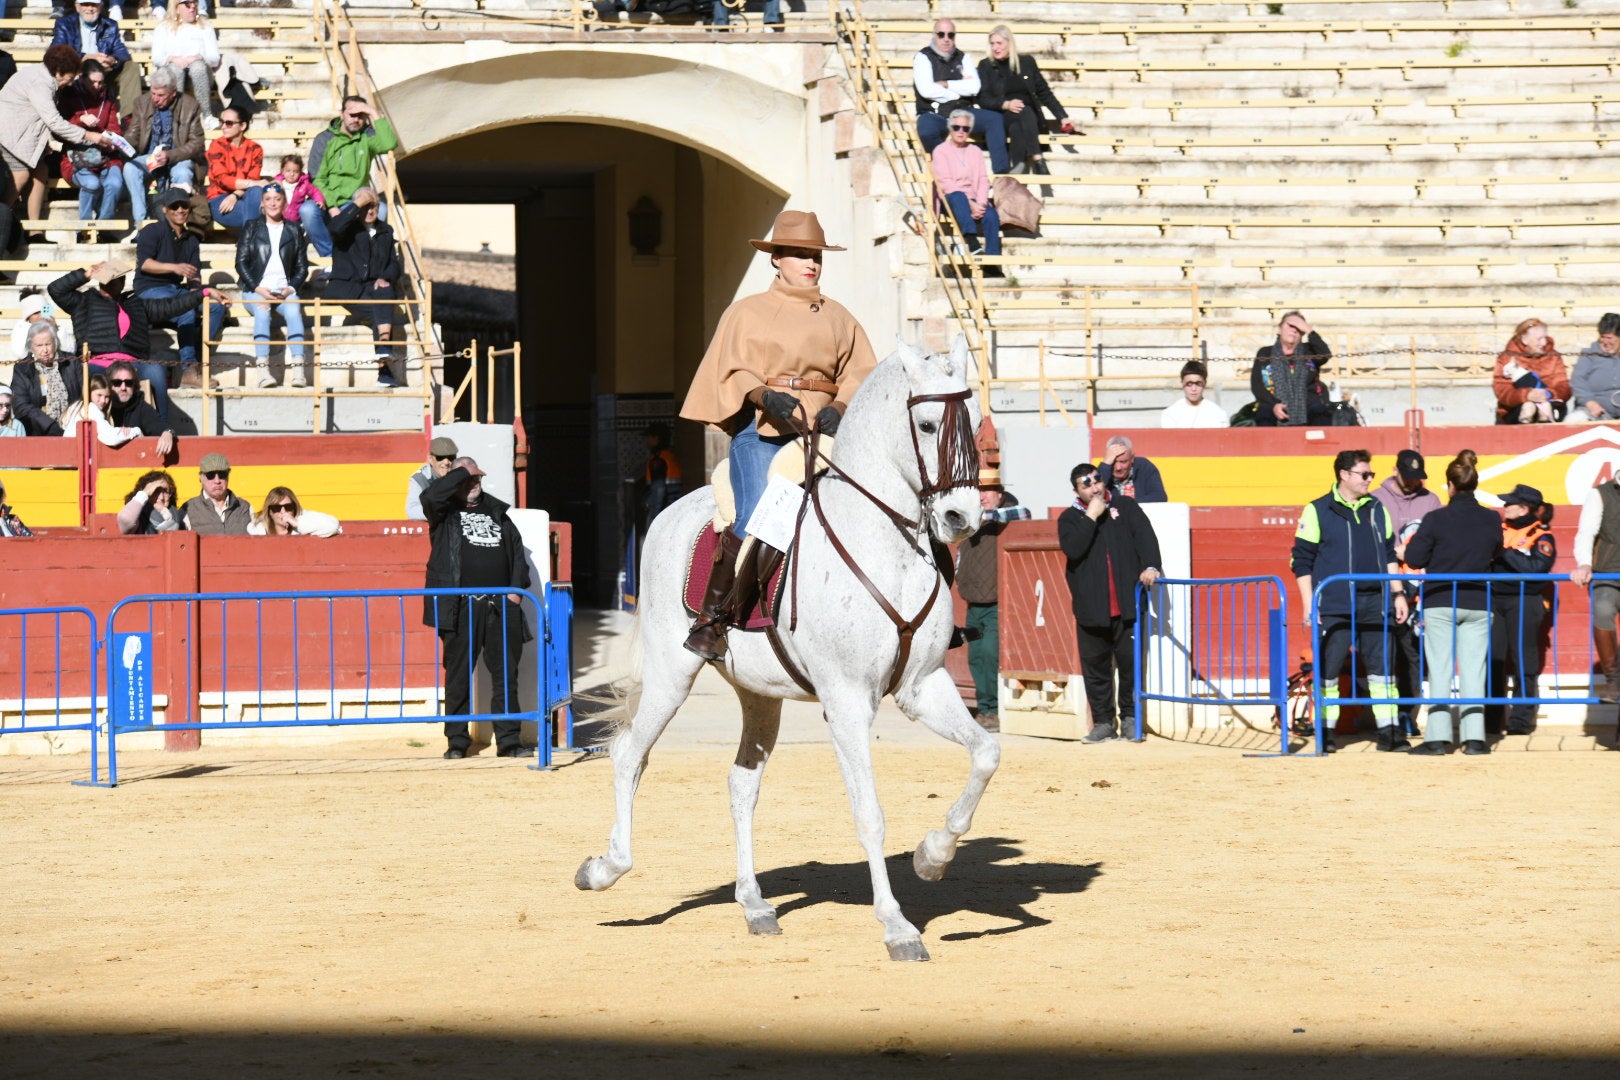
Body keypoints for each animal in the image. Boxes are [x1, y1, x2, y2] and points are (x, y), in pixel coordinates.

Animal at [570, 340, 997, 965]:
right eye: (925, 424)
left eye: (971, 421)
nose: (962, 519)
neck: (885, 543)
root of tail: (672, 511)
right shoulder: (847, 701)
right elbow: (869, 813)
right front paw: (897, 926)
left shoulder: (924, 687)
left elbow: (985, 753)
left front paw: (933, 855)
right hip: (674, 674)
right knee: (629, 754)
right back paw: (603, 870)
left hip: (759, 695)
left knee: (741, 783)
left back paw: (755, 905)